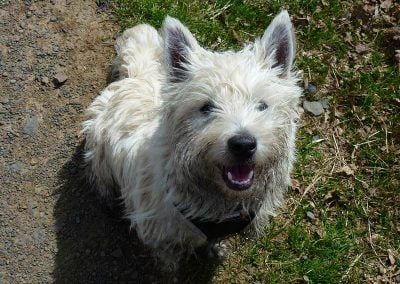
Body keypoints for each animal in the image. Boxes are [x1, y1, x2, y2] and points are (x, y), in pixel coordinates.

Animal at [83, 11, 302, 268]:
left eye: (262, 105)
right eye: (206, 107)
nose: (243, 145)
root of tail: (137, 75)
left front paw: (216, 248)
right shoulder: (161, 233)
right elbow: (168, 259)